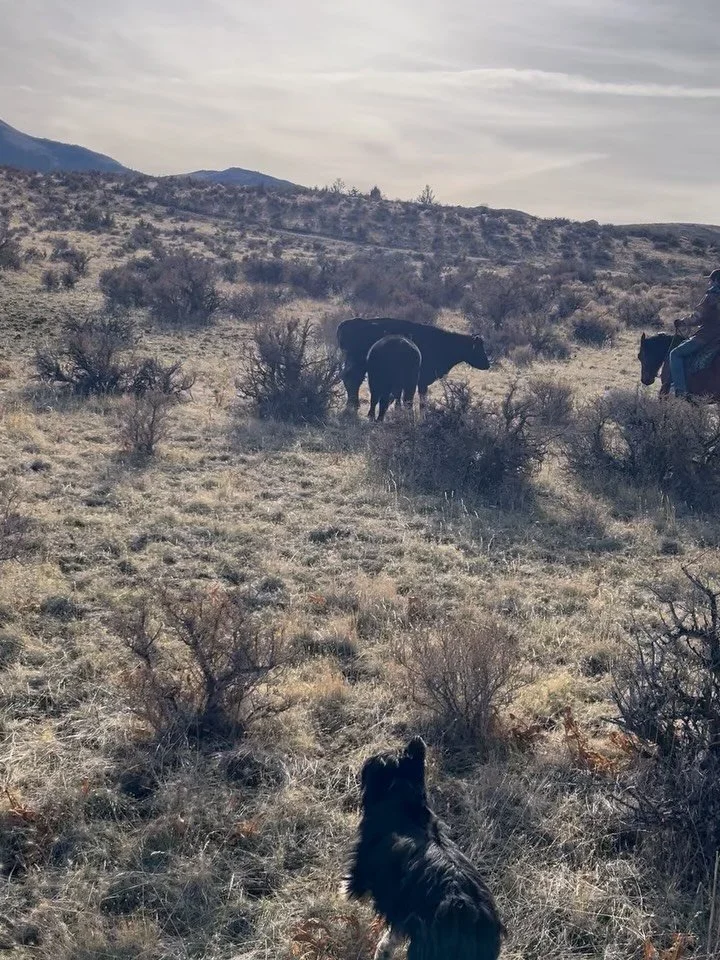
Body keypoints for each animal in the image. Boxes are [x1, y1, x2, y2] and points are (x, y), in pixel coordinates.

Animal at [337, 317, 490, 411]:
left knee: (350, 380)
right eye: (479, 349)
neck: (442, 343)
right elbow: (421, 401)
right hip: (357, 364)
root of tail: (349, 323)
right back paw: (353, 405)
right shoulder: (422, 380)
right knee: (352, 380)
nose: (487, 364)